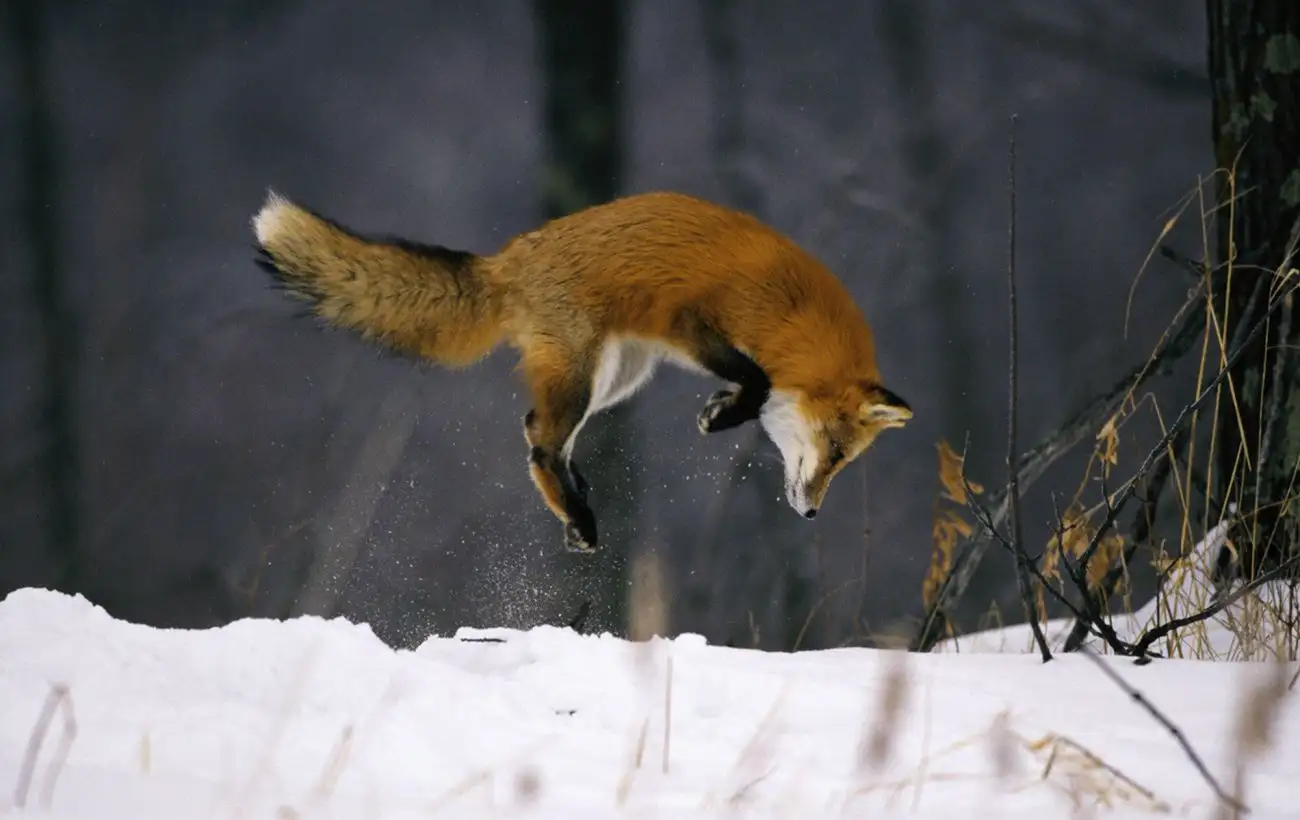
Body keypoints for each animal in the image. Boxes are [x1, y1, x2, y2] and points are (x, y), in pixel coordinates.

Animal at [248, 191, 909, 550]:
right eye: (835, 452)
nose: (812, 513)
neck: (792, 319)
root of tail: (507, 259)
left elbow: (752, 382)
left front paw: (722, 408)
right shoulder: (690, 321)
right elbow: (759, 381)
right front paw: (722, 415)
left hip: (617, 376)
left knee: (533, 428)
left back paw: (574, 507)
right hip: (586, 373)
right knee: (542, 441)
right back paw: (577, 513)